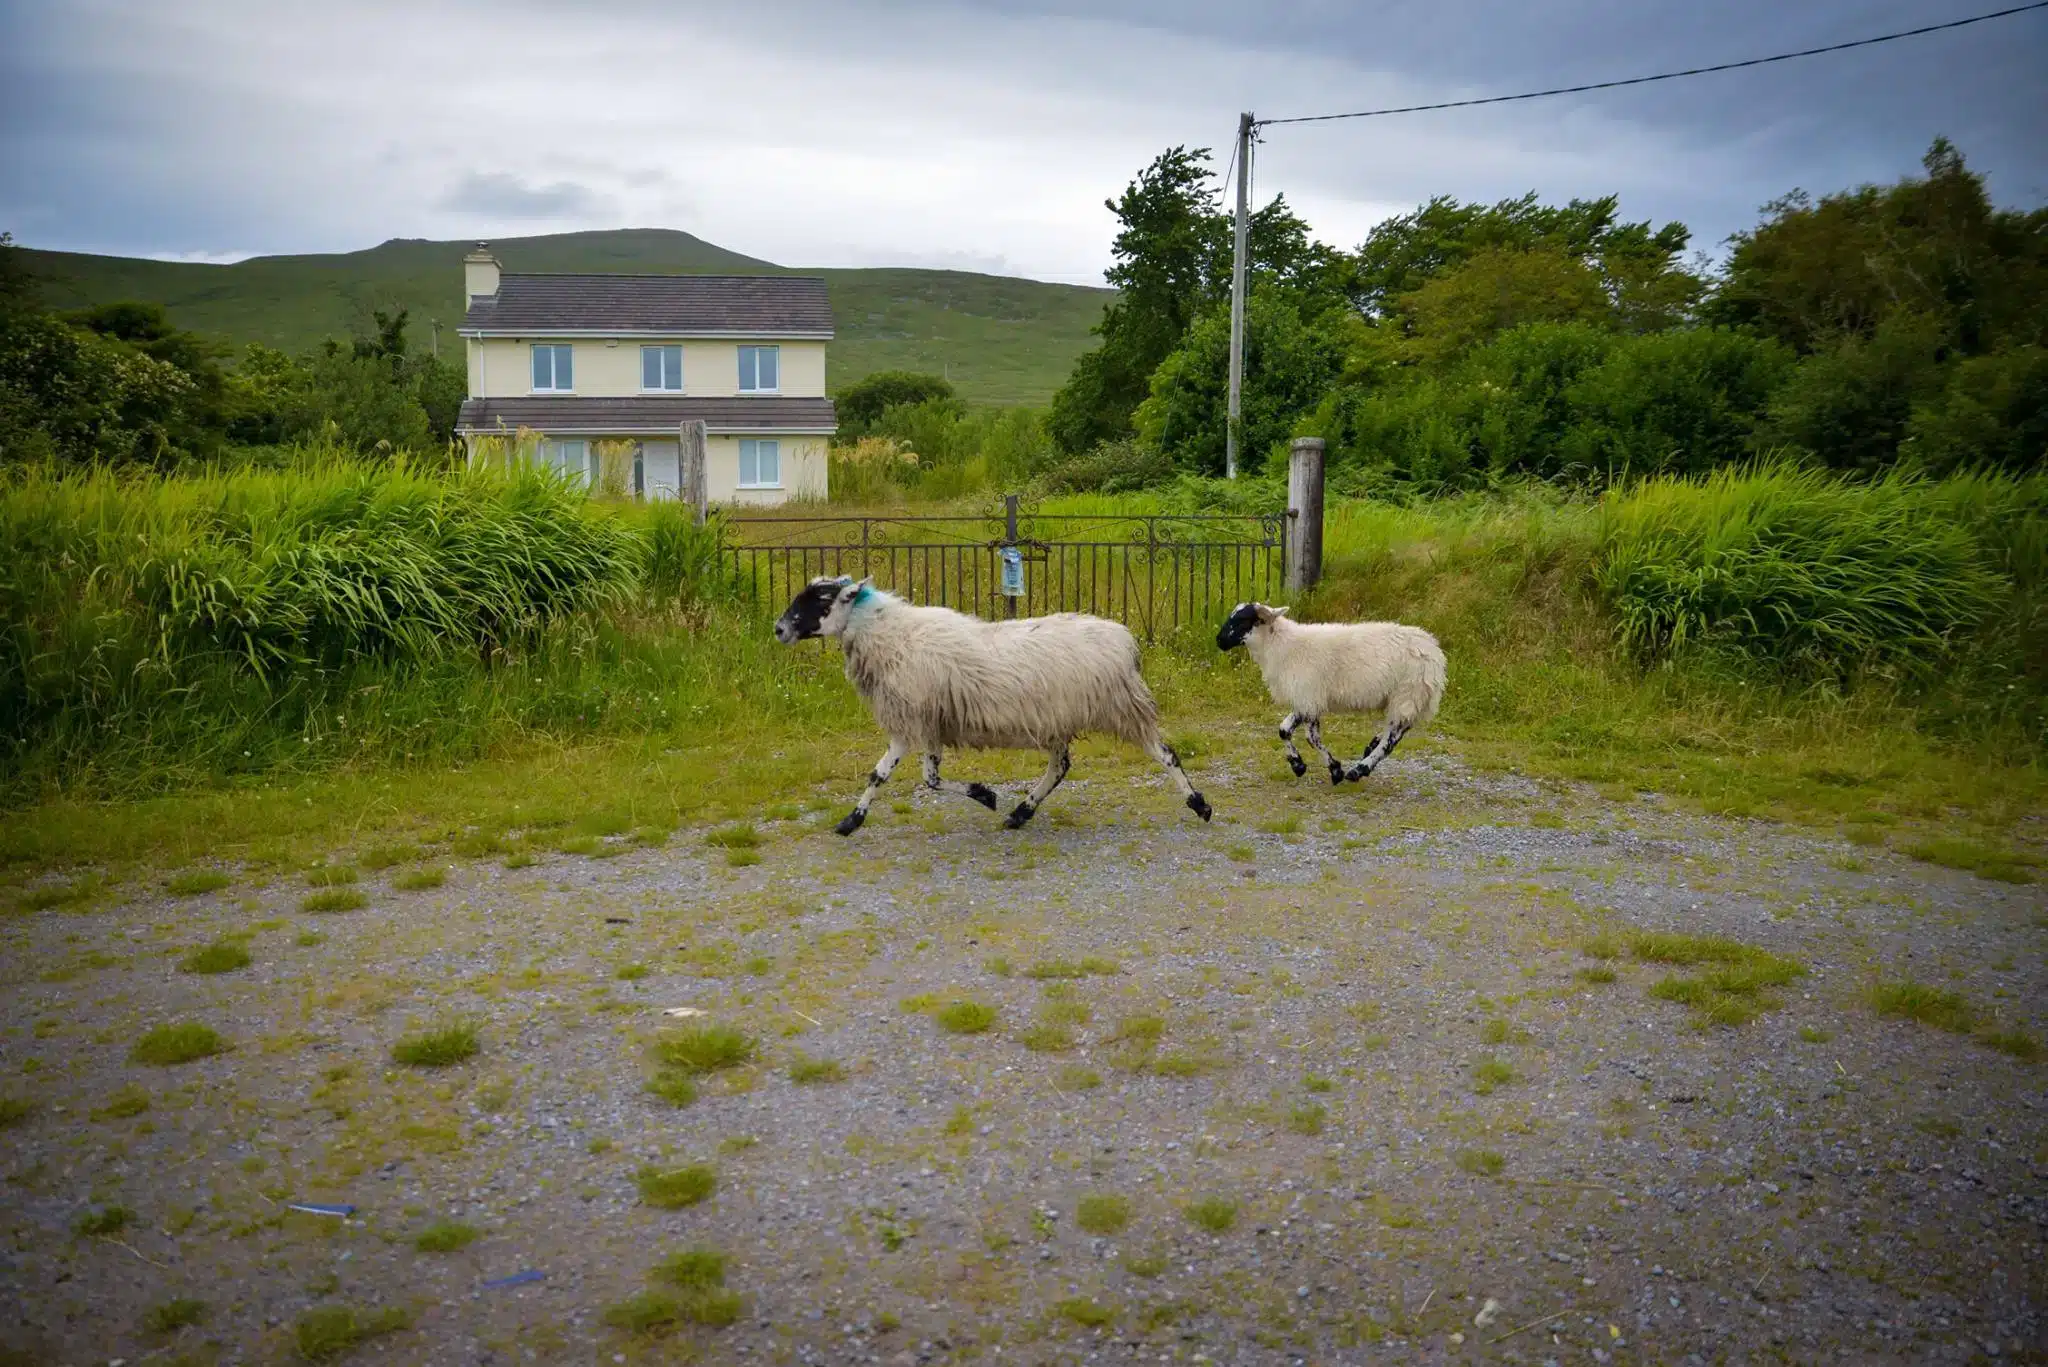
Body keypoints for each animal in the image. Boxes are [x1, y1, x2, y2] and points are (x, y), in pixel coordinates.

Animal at [774, 577, 1204, 836]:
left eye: (820, 600)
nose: (779, 629)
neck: (887, 634)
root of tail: (1126, 641)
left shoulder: (912, 720)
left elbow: (898, 777)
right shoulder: (929, 722)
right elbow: (912, 778)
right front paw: (851, 820)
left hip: (1121, 707)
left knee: (1166, 754)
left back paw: (1200, 804)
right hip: (1057, 720)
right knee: (1060, 767)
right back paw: (1021, 813)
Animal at [1212, 602, 1441, 786]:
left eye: (1242, 620)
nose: (1219, 641)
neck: (1281, 646)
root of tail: (1434, 650)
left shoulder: (1308, 697)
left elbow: (1309, 737)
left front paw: (1334, 770)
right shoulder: (1306, 700)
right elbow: (1285, 730)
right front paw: (1299, 766)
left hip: (1408, 693)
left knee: (1391, 739)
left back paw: (1360, 769)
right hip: (1407, 698)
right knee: (1398, 730)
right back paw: (1370, 747)